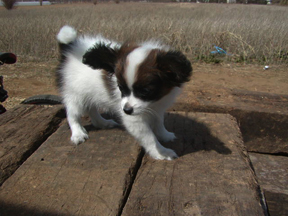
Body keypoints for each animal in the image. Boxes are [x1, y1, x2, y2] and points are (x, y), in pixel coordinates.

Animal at [56, 25, 192, 160]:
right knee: (72, 114)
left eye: (145, 91)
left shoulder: (158, 108)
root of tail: (71, 48)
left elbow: (159, 122)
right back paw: (78, 133)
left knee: (91, 109)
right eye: (121, 88)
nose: (126, 110)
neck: (154, 102)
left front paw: (164, 135)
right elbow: (149, 138)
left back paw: (102, 123)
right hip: (75, 94)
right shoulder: (135, 120)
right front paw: (162, 152)